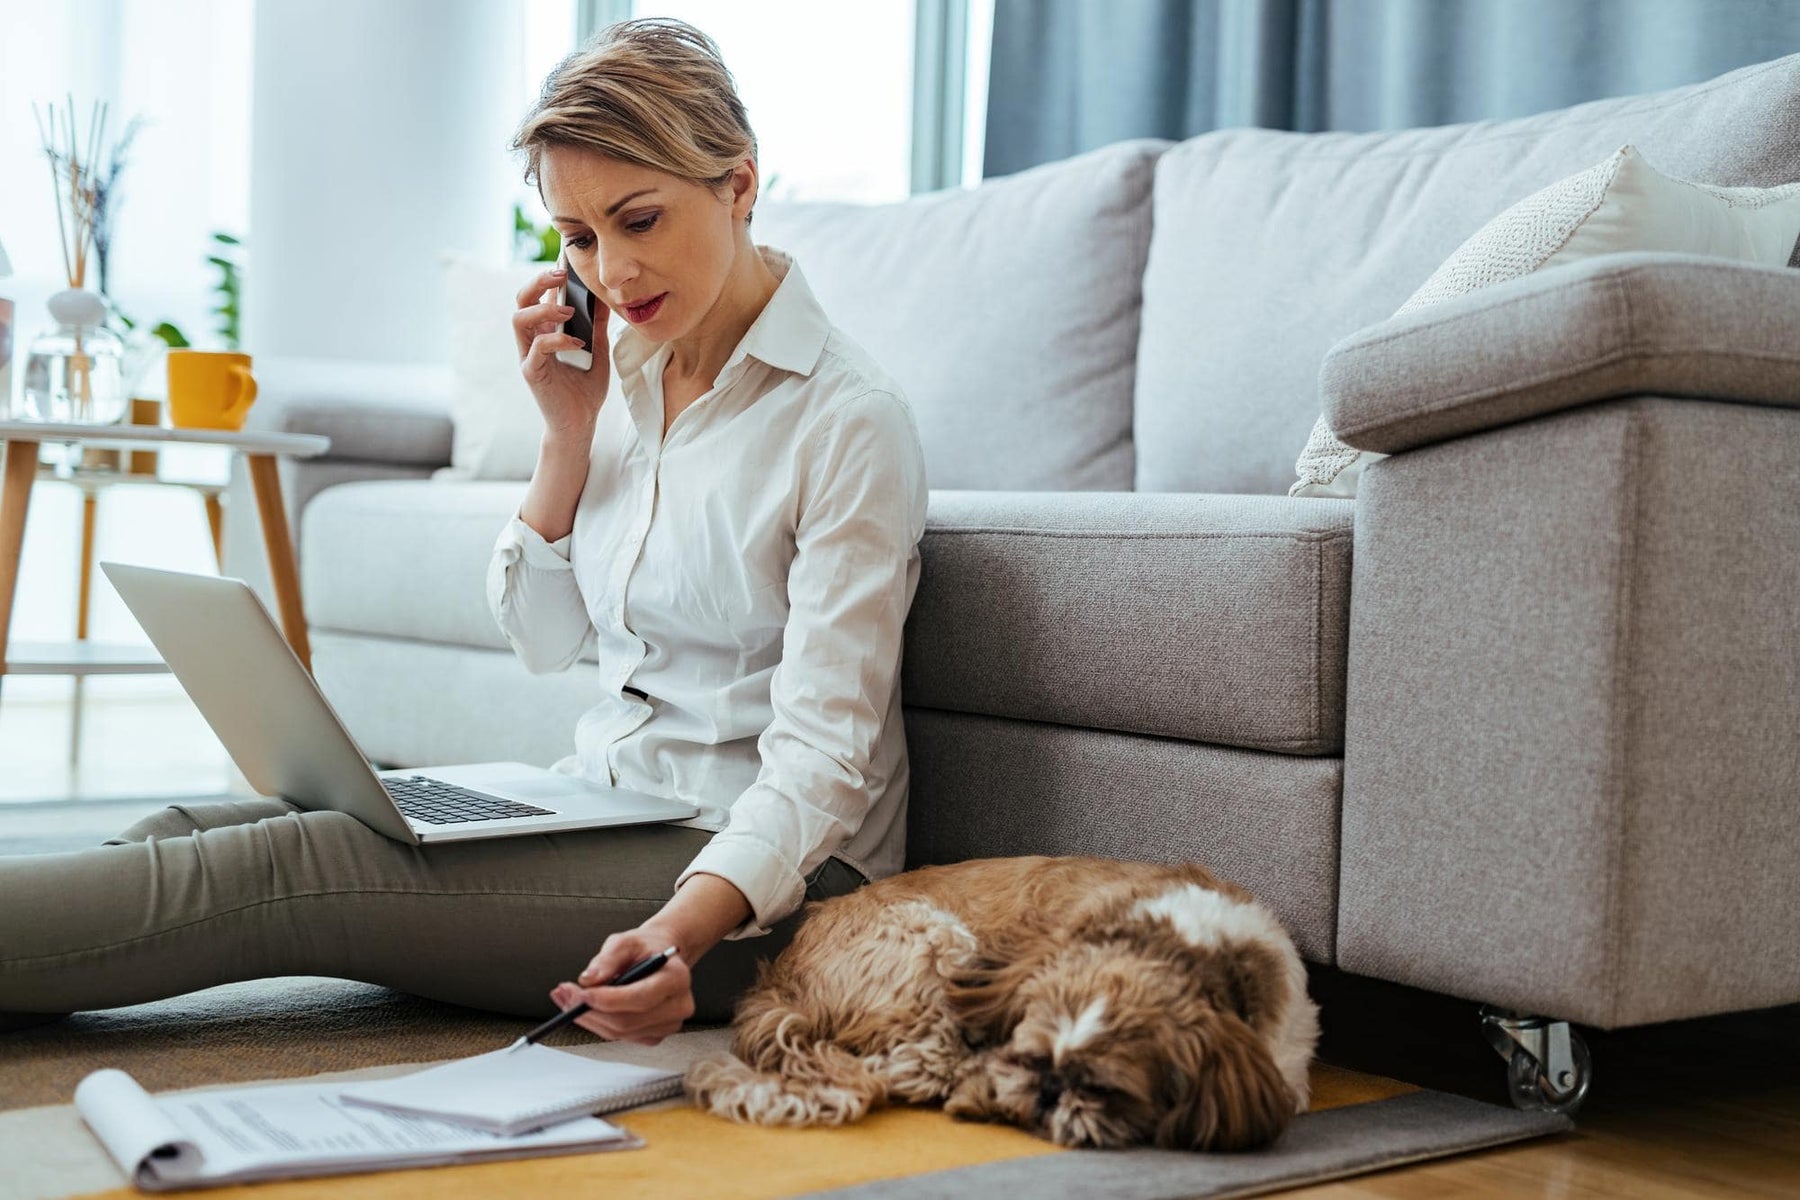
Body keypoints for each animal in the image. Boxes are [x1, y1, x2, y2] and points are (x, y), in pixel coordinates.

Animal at [680, 852, 1317, 1151]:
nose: (1049, 1089)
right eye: (1034, 1055)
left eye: (1107, 1089)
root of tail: (784, 970)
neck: (1180, 942)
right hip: (935, 944)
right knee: (914, 1067)